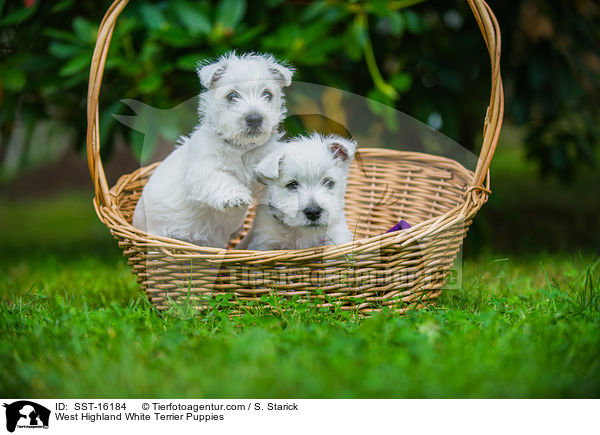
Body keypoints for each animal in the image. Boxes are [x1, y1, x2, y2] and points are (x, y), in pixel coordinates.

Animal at [131, 52, 292, 249]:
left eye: (267, 94)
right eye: (232, 95)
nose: (254, 119)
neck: (241, 148)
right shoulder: (202, 170)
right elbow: (221, 178)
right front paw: (236, 197)